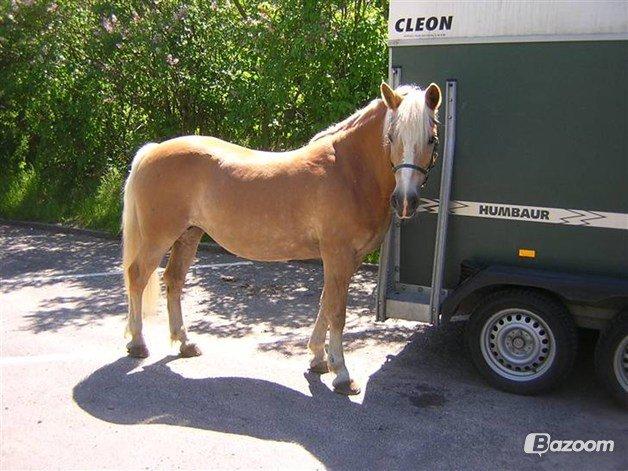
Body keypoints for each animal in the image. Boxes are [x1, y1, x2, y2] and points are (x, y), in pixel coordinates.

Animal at [121, 83, 442, 396]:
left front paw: (318, 359)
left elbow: (326, 302)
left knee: (174, 280)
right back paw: (138, 343)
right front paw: (342, 375)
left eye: (431, 139)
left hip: (188, 235)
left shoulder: (349, 258)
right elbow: (337, 312)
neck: (349, 171)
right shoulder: (338, 255)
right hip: (159, 237)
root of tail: (153, 150)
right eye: (391, 136)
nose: (405, 201)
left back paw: (185, 343)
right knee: (137, 276)